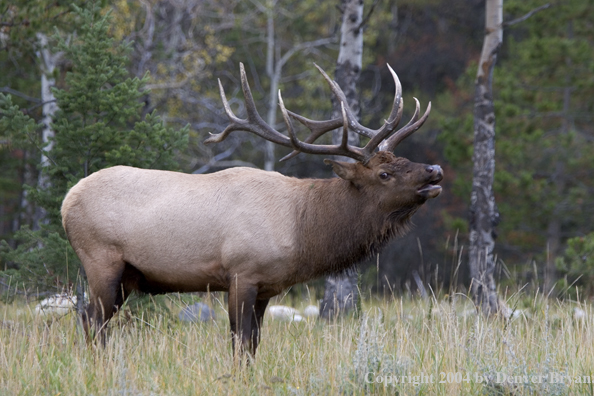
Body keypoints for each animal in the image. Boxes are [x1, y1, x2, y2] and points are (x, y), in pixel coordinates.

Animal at [61, 62, 440, 358]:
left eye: (403, 159)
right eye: (384, 174)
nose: (434, 170)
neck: (303, 229)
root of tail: (66, 201)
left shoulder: (268, 287)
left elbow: (254, 343)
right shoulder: (242, 272)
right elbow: (240, 342)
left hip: (127, 275)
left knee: (97, 322)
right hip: (101, 260)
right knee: (92, 321)